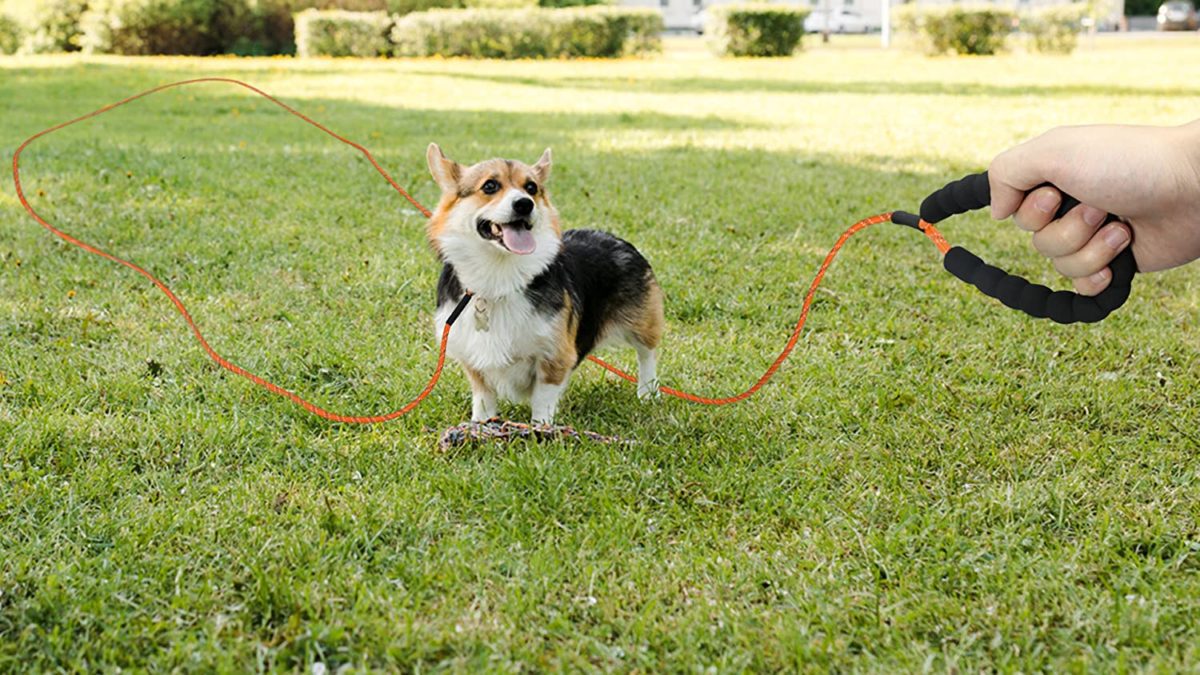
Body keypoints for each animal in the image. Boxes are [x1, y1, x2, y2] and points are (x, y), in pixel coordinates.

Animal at [424, 144, 667, 422]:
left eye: (531, 187)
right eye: (490, 186)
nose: (524, 204)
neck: (499, 275)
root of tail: (615, 238)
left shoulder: (554, 355)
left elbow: (542, 401)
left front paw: (540, 428)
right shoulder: (474, 358)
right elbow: (484, 399)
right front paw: (480, 424)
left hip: (642, 323)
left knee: (647, 353)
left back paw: (647, 392)